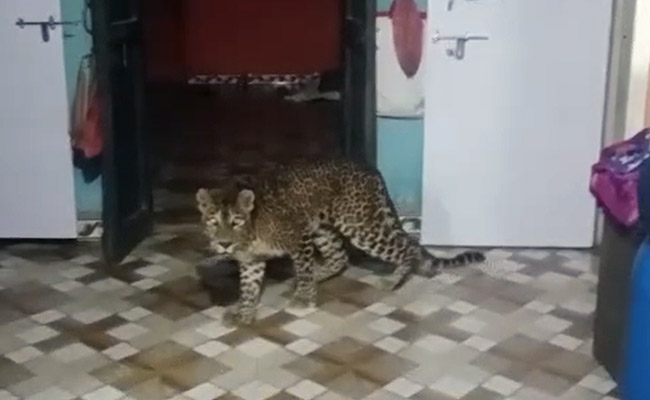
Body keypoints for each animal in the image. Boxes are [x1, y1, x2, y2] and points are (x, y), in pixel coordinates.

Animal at [196, 159, 484, 325]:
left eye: (236, 221)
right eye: (212, 221)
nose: (223, 244)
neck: (249, 234)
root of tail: (370, 169)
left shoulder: (299, 238)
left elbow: (302, 268)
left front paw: (304, 299)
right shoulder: (251, 261)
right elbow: (248, 288)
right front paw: (244, 312)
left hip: (360, 226)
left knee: (408, 247)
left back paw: (392, 280)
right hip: (323, 229)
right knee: (339, 258)